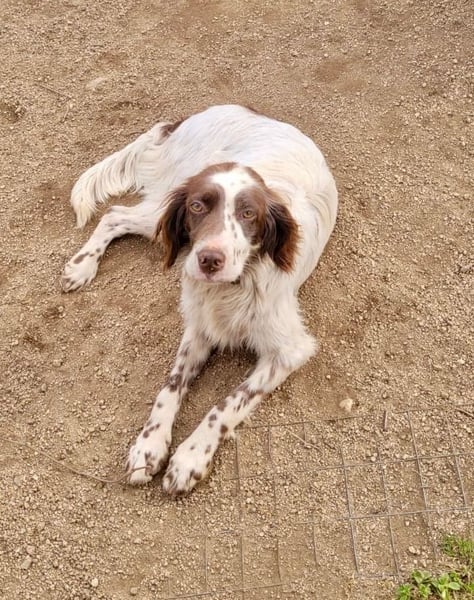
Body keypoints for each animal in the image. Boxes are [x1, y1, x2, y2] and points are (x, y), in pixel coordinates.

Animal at [62, 104, 338, 495]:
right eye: (197, 206)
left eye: (248, 213)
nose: (209, 259)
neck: (231, 287)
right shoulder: (199, 327)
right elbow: (170, 387)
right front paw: (148, 446)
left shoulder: (289, 351)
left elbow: (226, 405)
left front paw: (189, 458)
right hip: (161, 213)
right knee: (115, 215)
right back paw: (81, 266)